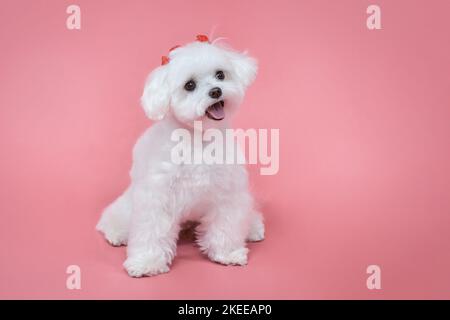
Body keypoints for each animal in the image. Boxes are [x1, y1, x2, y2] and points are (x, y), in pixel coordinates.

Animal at [95, 33, 264, 276]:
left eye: (220, 74)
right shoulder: (157, 197)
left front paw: (227, 252)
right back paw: (116, 231)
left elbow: (226, 225)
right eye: (189, 85)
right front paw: (147, 262)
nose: (216, 91)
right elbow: (151, 231)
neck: (199, 140)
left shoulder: (228, 193)